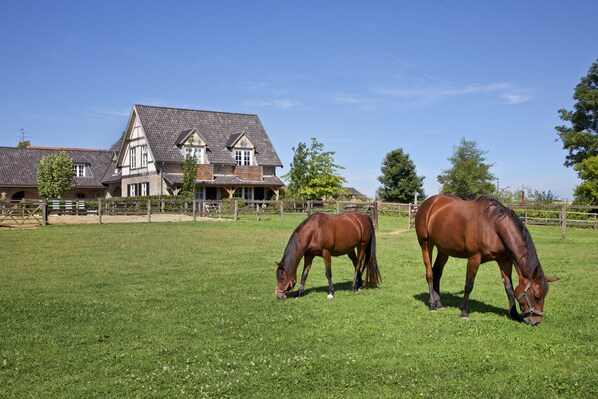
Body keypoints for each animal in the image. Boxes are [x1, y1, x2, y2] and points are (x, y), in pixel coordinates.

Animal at [414, 195, 560, 326]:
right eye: (536, 296)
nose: (536, 321)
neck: (492, 226)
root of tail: (429, 203)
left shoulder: (504, 261)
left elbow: (509, 288)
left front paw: (514, 314)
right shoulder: (474, 258)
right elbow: (469, 285)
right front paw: (464, 312)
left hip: (443, 250)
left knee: (437, 273)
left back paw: (439, 304)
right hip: (426, 244)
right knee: (430, 274)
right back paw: (432, 305)